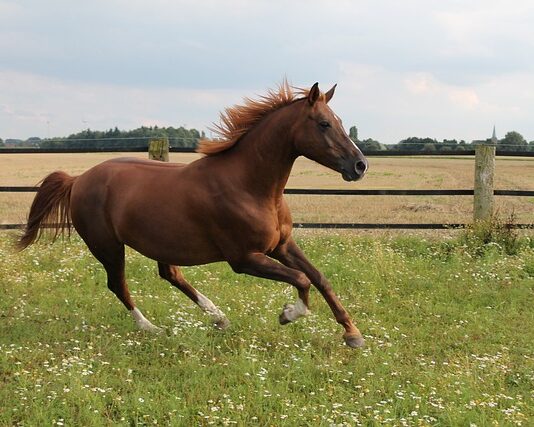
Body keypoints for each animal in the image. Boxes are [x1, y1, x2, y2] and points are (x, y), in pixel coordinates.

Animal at [16, 83, 368, 348]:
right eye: (323, 123)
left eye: (338, 120)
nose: (360, 165)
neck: (249, 186)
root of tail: (78, 180)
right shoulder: (244, 258)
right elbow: (302, 279)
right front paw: (288, 314)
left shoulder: (281, 245)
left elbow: (319, 277)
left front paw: (353, 334)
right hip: (107, 246)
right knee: (118, 284)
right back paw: (152, 328)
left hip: (159, 242)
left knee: (170, 275)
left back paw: (218, 317)